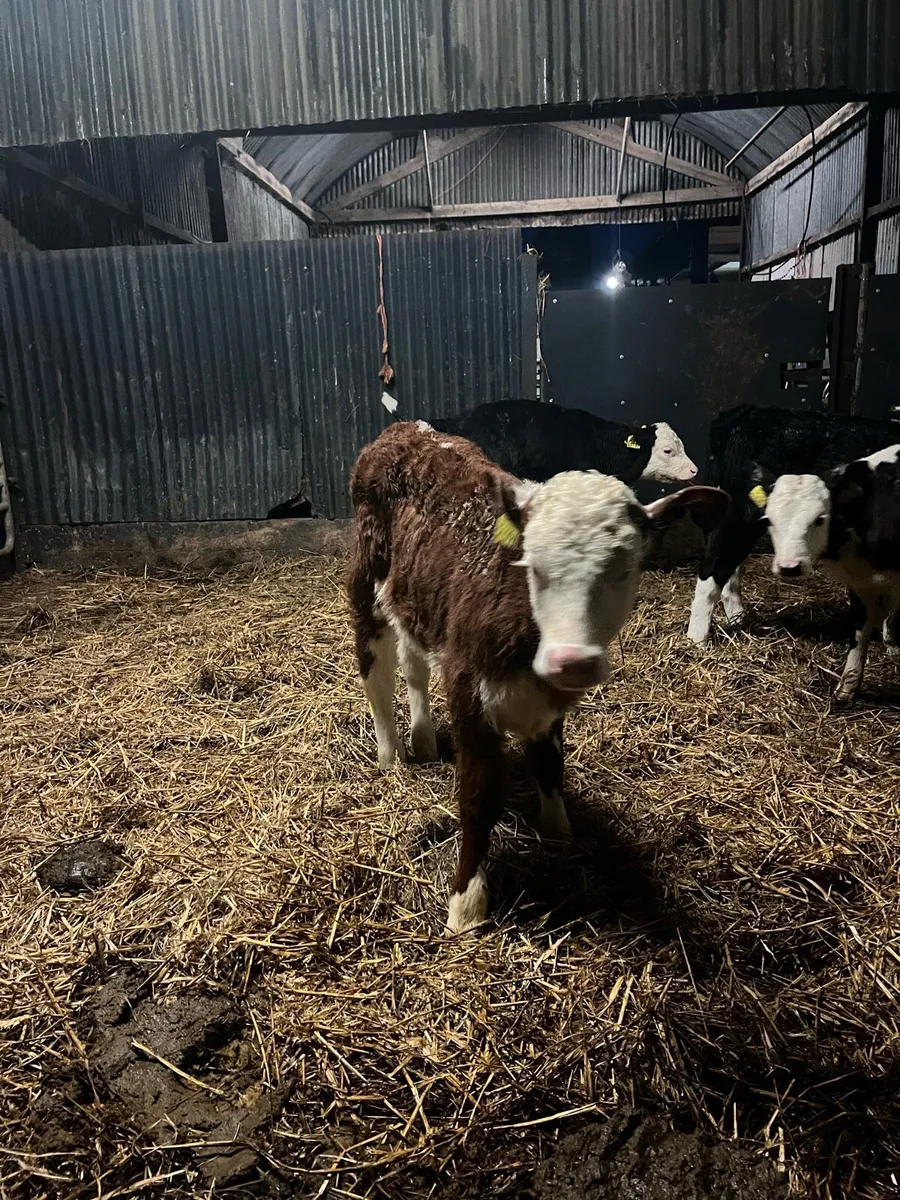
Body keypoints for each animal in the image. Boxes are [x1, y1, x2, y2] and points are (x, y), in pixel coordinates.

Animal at [348, 422, 729, 933]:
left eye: (625, 568)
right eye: (533, 564)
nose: (573, 661)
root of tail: (407, 430)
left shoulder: (549, 702)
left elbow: (550, 765)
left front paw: (560, 835)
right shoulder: (469, 689)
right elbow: (478, 795)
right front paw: (466, 902)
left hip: (417, 600)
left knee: (414, 668)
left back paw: (423, 740)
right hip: (366, 585)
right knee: (377, 675)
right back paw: (391, 755)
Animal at [765, 447, 900, 700]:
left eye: (820, 519)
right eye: (769, 520)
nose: (789, 566)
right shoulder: (860, 584)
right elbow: (859, 631)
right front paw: (847, 687)